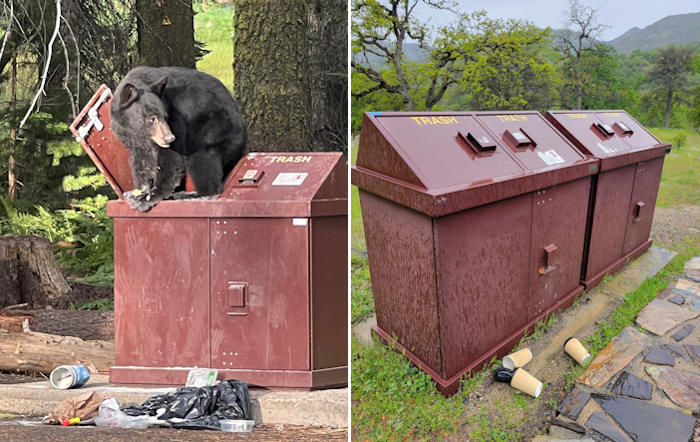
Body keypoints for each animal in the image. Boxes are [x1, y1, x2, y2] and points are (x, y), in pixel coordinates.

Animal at [110, 66, 247, 211]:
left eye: (166, 116)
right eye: (152, 118)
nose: (170, 138)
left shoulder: (175, 116)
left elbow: (170, 158)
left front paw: (149, 197)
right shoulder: (128, 134)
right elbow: (140, 160)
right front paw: (140, 190)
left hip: (215, 126)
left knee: (201, 156)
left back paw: (194, 194)